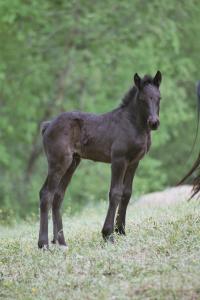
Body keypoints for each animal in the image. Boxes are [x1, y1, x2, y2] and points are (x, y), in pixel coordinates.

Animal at [38, 71, 162, 248]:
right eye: (142, 99)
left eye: (159, 98)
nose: (154, 123)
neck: (132, 124)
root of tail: (48, 125)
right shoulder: (119, 160)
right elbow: (115, 193)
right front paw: (108, 234)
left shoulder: (134, 162)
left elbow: (127, 193)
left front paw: (121, 231)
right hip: (59, 162)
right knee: (46, 194)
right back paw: (44, 244)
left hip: (72, 163)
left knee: (58, 196)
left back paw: (61, 242)